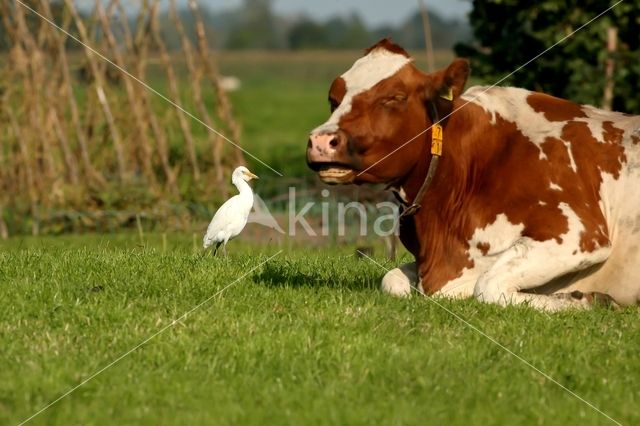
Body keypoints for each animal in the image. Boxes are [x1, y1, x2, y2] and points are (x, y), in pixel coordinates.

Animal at [304, 39, 640, 310]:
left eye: (394, 97)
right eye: (333, 99)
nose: (321, 141)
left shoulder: (580, 234)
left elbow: (488, 287)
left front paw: (587, 300)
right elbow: (392, 280)